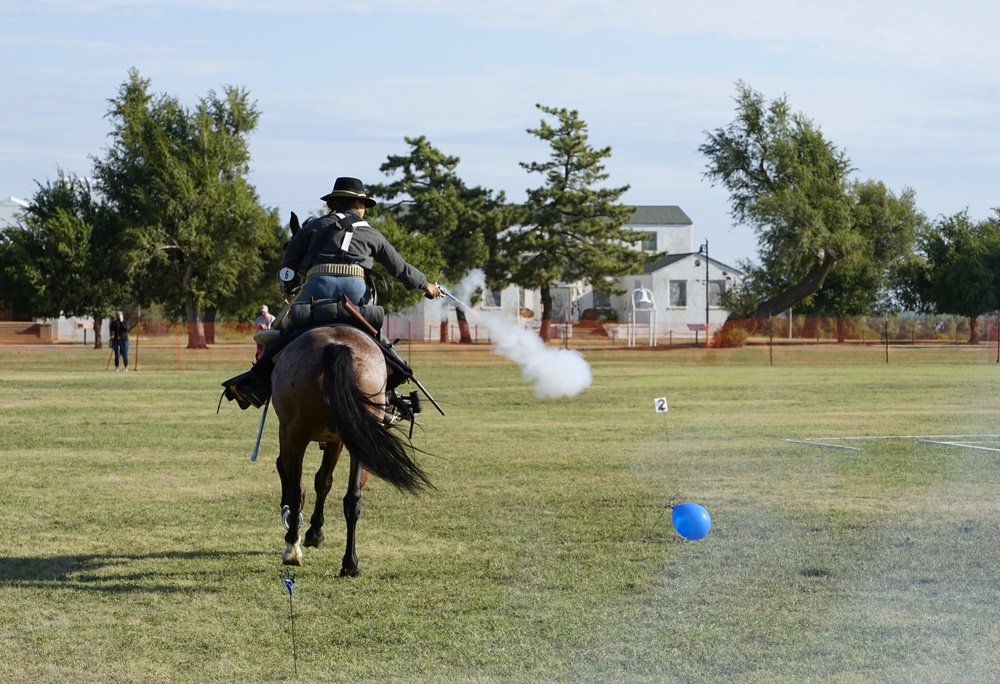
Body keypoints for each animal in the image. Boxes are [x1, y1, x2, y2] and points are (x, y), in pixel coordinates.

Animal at [270, 324, 430, 576]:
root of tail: (336, 346)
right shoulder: (337, 440)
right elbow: (324, 481)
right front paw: (314, 532)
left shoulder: (299, 438)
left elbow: (319, 481)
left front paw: (312, 533)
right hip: (358, 441)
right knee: (353, 499)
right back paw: (350, 564)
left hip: (294, 436)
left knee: (296, 491)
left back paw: (292, 549)